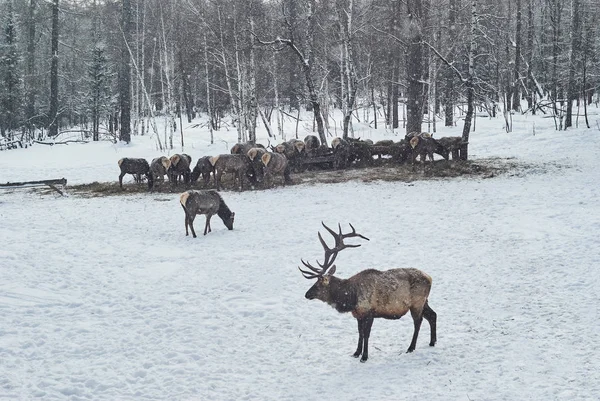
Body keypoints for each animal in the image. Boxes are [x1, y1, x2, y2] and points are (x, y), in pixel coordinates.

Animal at [298, 222, 436, 362]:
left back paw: (411, 347)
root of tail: (430, 278)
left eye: (318, 284)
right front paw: (356, 353)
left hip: (417, 303)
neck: (351, 299)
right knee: (433, 315)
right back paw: (432, 342)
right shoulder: (358, 314)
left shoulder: (370, 312)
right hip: (424, 301)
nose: (306, 294)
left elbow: (366, 334)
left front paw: (364, 356)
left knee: (418, 322)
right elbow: (360, 333)